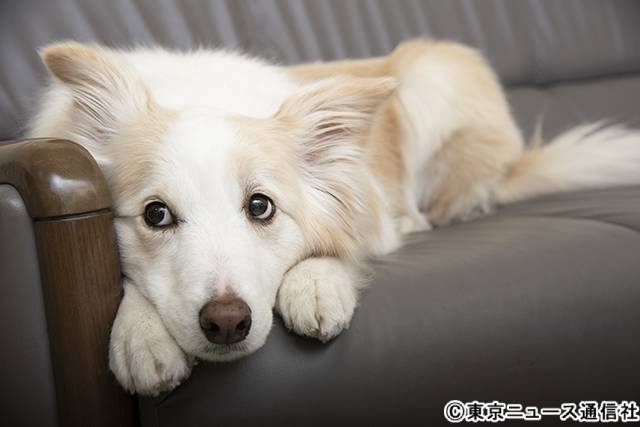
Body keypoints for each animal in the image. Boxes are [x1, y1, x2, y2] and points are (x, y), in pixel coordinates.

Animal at [28, 38, 640, 396]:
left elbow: (340, 245)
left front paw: (317, 285)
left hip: (433, 69)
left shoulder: (366, 205)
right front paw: (140, 335)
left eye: (260, 206)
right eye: (156, 215)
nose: (227, 322)